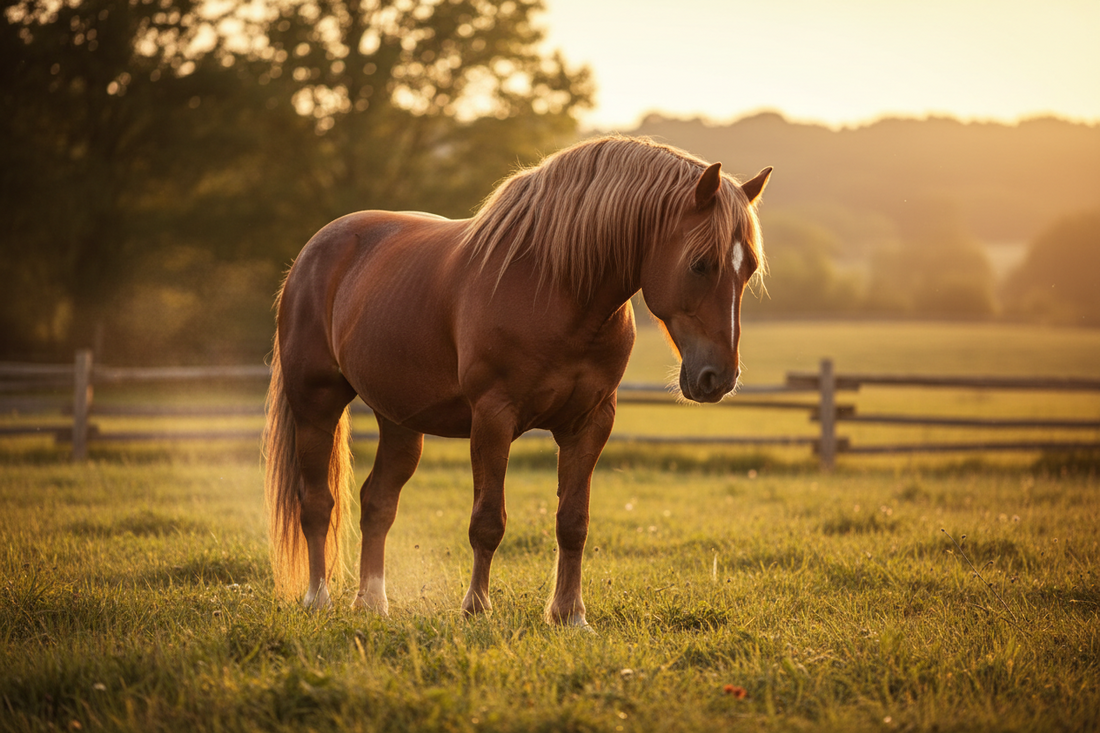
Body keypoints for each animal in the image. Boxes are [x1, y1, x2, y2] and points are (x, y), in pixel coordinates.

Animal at [263, 135, 771, 628]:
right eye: (700, 264)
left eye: (748, 269)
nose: (718, 377)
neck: (556, 288)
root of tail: (314, 250)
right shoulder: (493, 417)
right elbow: (488, 521)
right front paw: (476, 608)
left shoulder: (590, 423)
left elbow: (573, 522)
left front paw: (570, 615)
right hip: (316, 404)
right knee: (317, 503)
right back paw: (318, 599)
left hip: (400, 420)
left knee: (377, 502)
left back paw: (372, 603)